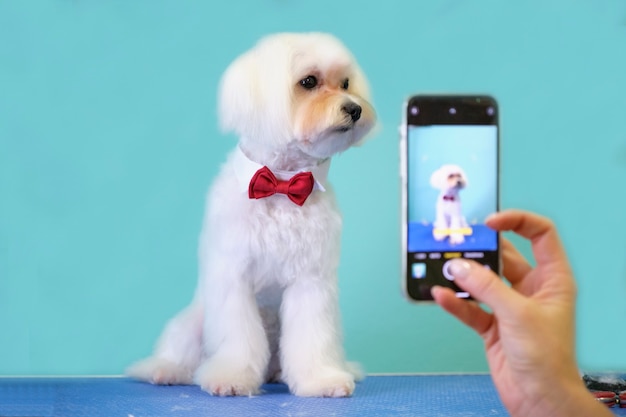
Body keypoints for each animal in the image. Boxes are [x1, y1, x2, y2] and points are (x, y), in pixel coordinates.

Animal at [124, 32, 372, 396]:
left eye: (346, 83)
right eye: (308, 82)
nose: (355, 108)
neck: (281, 183)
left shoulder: (310, 282)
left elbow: (312, 337)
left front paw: (320, 379)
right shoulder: (233, 276)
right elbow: (237, 338)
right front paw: (232, 377)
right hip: (194, 322)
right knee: (179, 353)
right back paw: (165, 370)